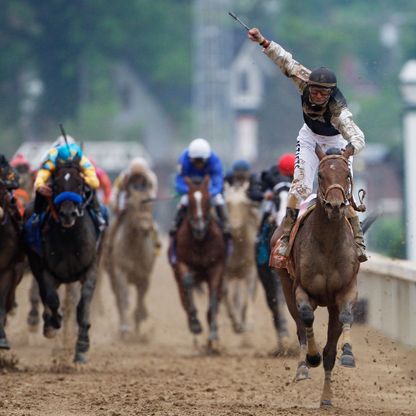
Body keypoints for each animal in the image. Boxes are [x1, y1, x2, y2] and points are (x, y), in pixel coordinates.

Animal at [26, 158, 99, 362]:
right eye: (56, 185)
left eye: (80, 184)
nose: (68, 214)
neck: (69, 238)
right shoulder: (46, 270)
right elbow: (51, 299)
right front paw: (52, 323)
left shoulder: (91, 267)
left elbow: (83, 304)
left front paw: (82, 344)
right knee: (44, 294)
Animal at [171, 174, 226, 350]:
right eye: (189, 200)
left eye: (208, 199)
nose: (199, 227)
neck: (200, 241)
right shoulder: (182, 262)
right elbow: (187, 283)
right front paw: (195, 324)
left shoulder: (217, 267)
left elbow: (214, 297)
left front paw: (213, 333)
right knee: (184, 297)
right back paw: (193, 323)